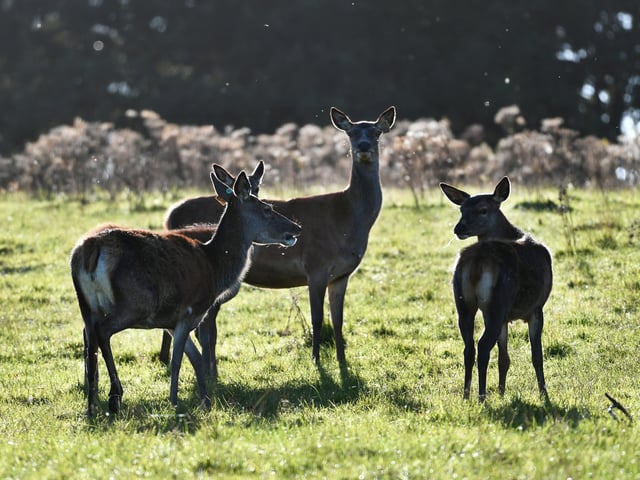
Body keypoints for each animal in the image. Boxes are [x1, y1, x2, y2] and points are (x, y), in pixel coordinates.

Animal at [70, 165, 301, 417]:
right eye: (267, 208)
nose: (296, 228)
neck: (215, 266)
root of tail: (91, 249)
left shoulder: (171, 321)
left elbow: (196, 358)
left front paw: (206, 401)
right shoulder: (190, 311)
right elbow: (178, 360)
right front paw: (175, 402)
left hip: (86, 305)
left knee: (89, 339)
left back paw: (92, 404)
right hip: (134, 304)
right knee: (103, 332)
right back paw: (115, 396)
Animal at [158, 106, 396, 376]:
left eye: (377, 132)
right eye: (352, 132)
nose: (364, 146)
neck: (348, 219)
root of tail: (169, 214)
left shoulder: (342, 275)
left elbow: (338, 319)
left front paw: (343, 361)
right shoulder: (316, 266)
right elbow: (317, 319)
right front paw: (316, 360)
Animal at [440, 177, 552, 401]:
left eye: (482, 210)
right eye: (462, 210)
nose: (459, 228)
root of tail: (476, 264)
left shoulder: (504, 317)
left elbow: (504, 358)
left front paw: (501, 392)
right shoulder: (536, 308)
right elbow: (537, 356)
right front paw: (544, 394)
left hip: (464, 303)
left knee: (468, 348)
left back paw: (466, 395)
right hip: (498, 302)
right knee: (483, 347)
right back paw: (481, 397)